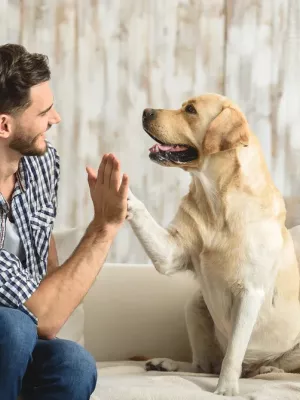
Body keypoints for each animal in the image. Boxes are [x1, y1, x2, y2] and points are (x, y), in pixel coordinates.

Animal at [127, 94, 300, 396]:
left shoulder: (250, 292)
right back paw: (167, 364)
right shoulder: (170, 252)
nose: (146, 111)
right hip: (194, 304)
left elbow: (233, 352)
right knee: (203, 366)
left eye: (191, 110)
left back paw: (267, 369)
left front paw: (226, 389)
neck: (217, 201)